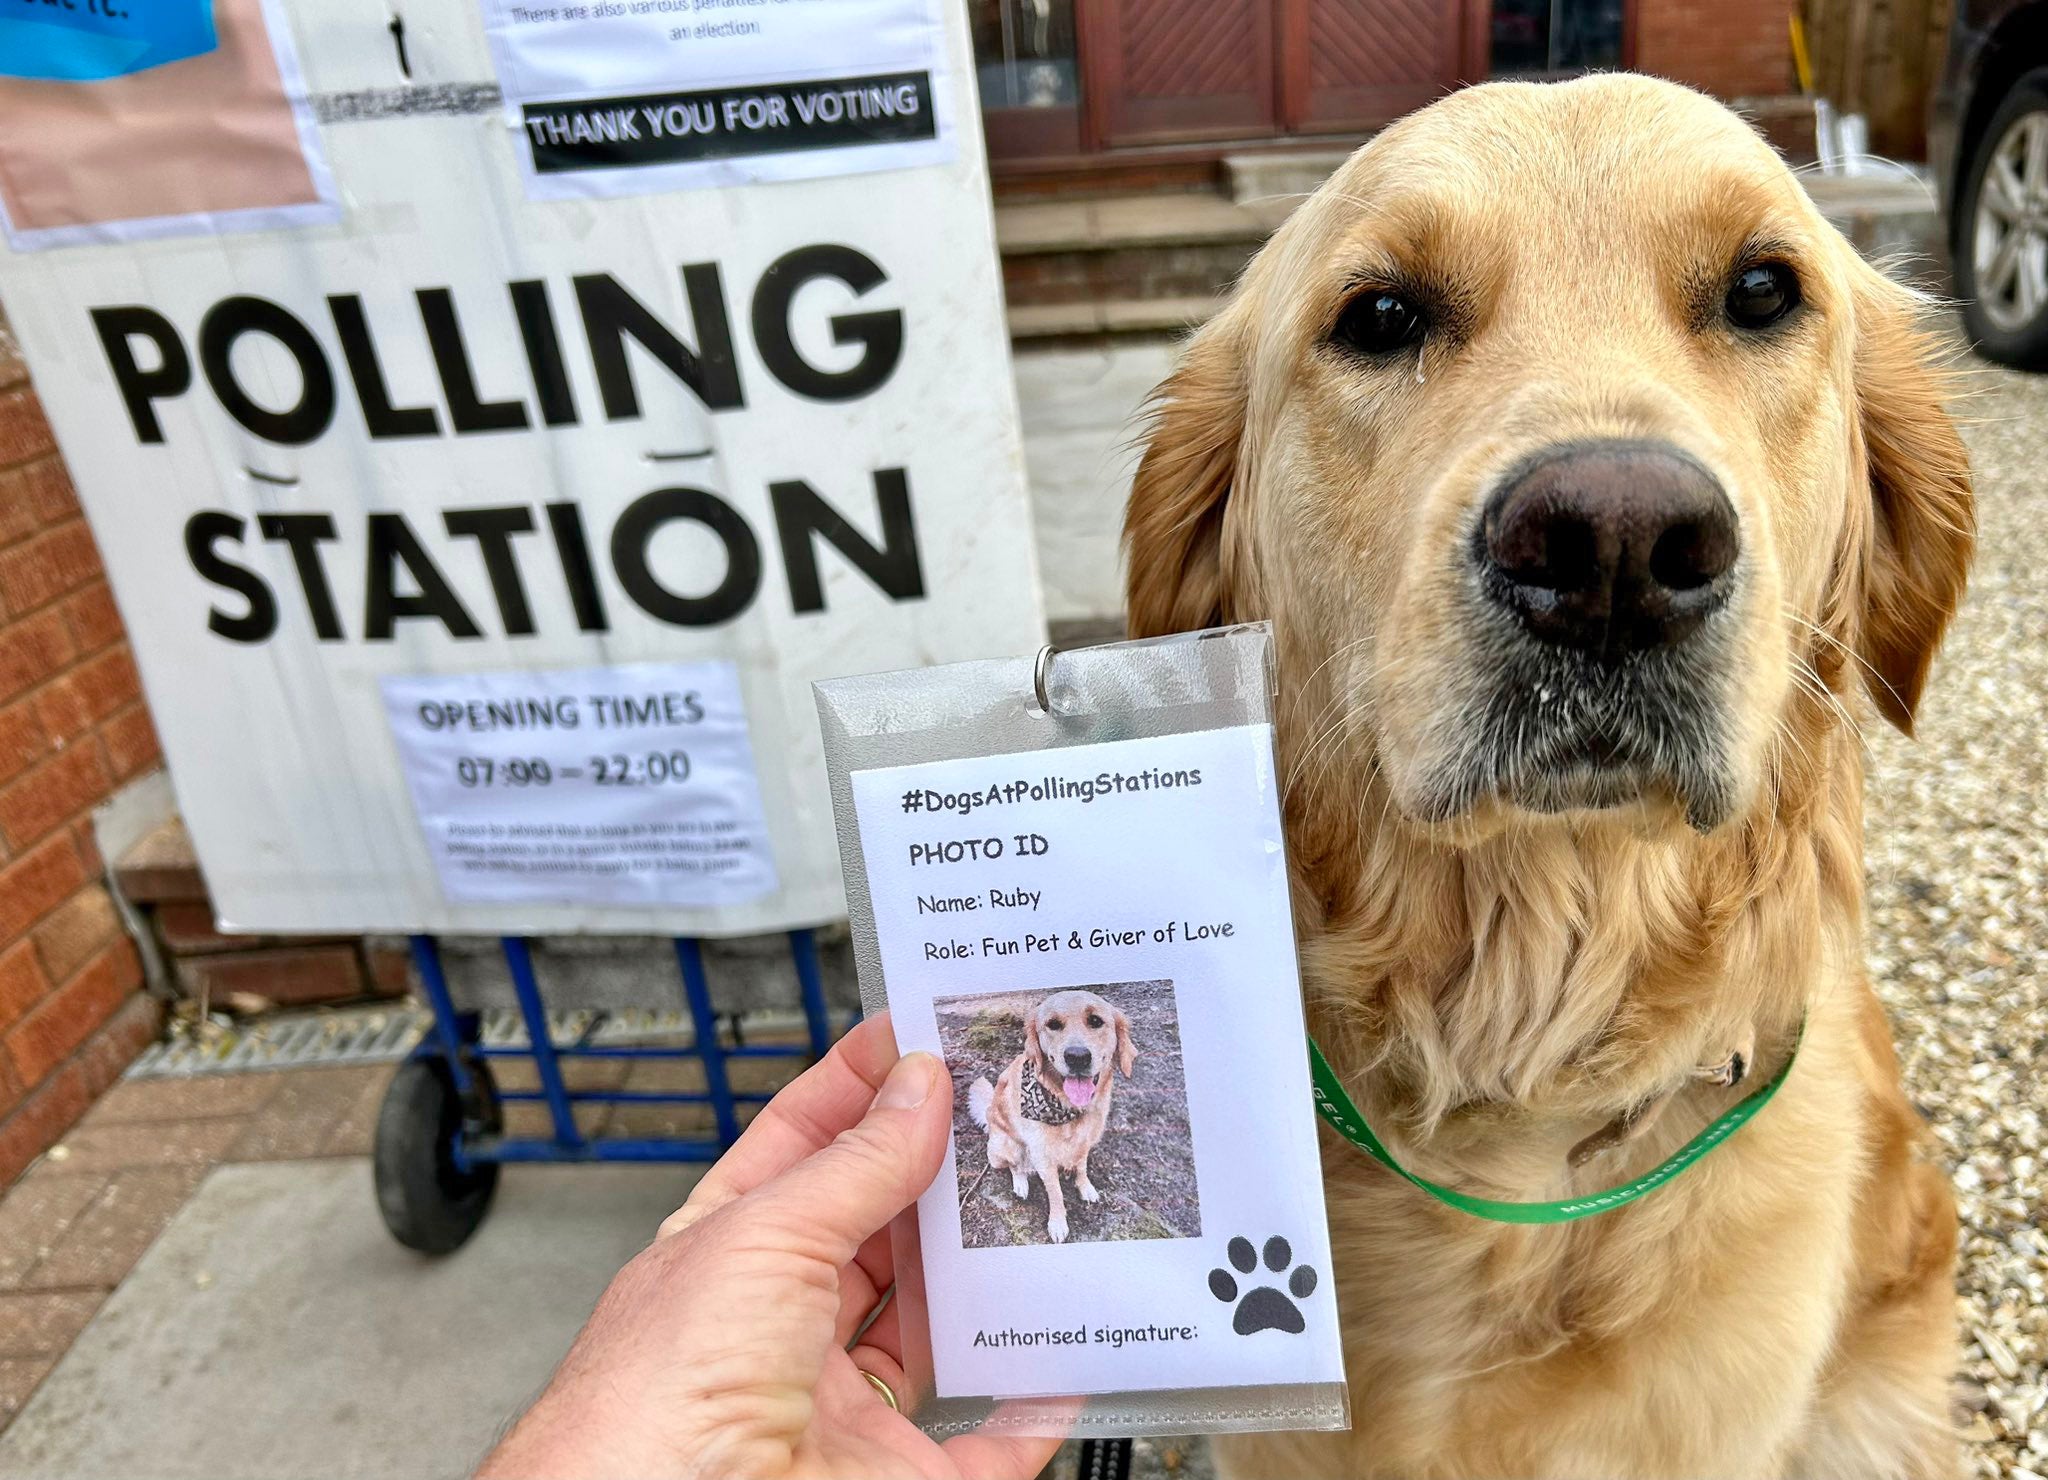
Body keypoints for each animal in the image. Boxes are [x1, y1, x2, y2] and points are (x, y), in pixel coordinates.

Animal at [970, 990, 1146, 1244]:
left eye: (1096, 1021)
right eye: (1053, 1024)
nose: (1077, 1057)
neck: (1067, 1108)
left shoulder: (1085, 1143)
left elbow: (1082, 1167)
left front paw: (1085, 1187)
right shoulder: (1043, 1158)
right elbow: (1055, 1193)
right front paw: (1058, 1223)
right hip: (1006, 1146)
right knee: (1016, 1167)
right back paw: (1021, 1184)